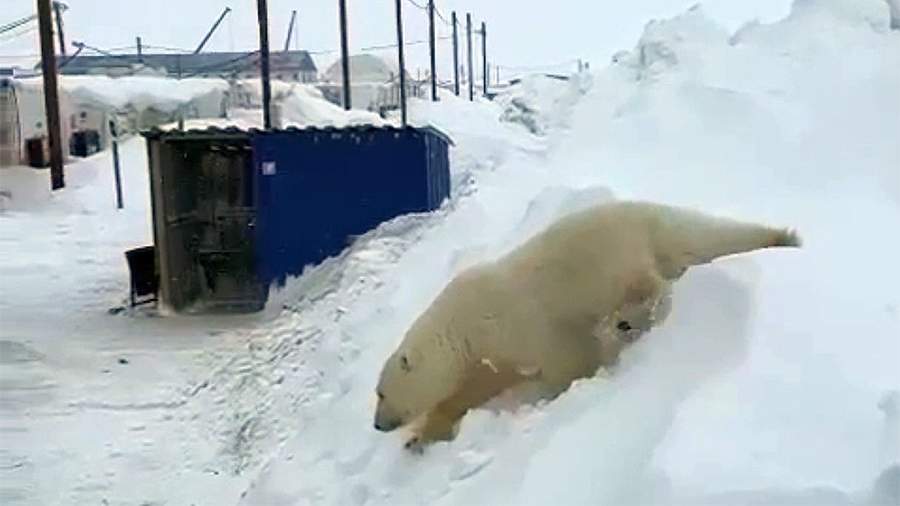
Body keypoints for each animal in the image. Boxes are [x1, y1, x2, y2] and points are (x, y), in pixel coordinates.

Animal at [372, 200, 800, 448]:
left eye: (381, 393)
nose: (378, 425)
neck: (462, 326)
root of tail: (650, 212)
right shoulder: (488, 355)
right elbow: (472, 389)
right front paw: (420, 437)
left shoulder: (520, 325)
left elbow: (566, 358)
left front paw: (556, 392)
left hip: (613, 258)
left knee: (646, 284)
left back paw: (627, 320)